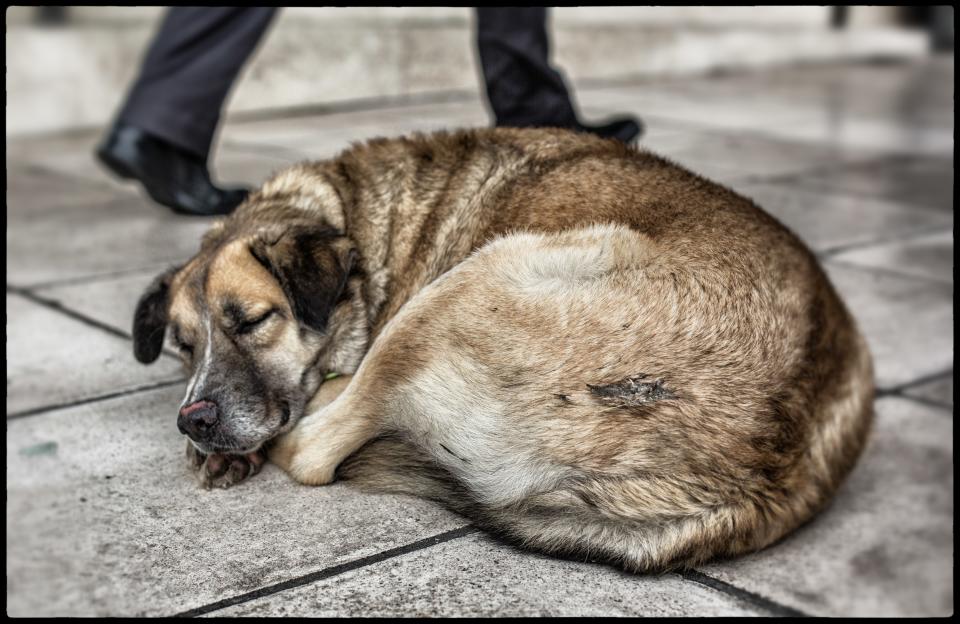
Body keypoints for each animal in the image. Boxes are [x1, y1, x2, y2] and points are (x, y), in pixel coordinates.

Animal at [131, 129, 872, 572]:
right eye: (183, 345)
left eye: (254, 320)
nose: (193, 420)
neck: (360, 223)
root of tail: (771, 465)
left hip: (472, 279)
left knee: (316, 447)